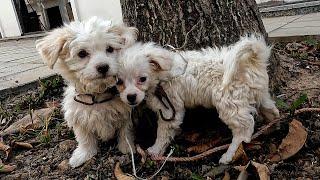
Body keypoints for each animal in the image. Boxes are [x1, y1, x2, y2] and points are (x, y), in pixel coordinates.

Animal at [36, 16, 138, 167]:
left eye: (110, 49)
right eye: (82, 53)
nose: (103, 67)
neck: (97, 95)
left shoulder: (126, 113)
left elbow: (126, 131)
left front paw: (127, 147)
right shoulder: (78, 117)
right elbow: (84, 138)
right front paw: (83, 154)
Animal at [116, 34, 278, 164]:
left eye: (142, 79)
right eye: (119, 82)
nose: (131, 97)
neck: (162, 75)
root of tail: (253, 61)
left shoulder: (170, 108)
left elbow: (163, 132)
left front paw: (155, 150)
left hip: (230, 104)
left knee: (244, 130)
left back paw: (229, 155)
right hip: (260, 95)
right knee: (271, 109)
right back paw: (272, 126)